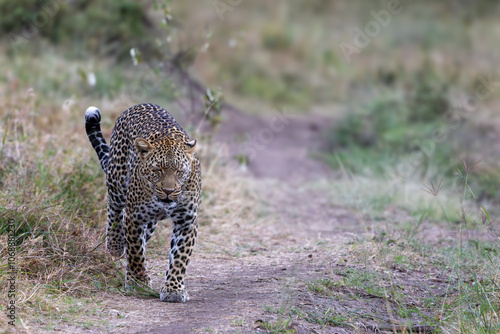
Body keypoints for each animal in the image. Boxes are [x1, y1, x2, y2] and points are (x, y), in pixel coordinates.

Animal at [84, 102, 201, 302]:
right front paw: (138, 282)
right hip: (117, 181)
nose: (168, 191)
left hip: (151, 222)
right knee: (114, 210)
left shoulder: (187, 220)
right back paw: (115, 245)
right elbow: (136, 251)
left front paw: (174, 289)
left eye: (179, 171)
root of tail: (138, 105)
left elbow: (180, 256)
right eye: (157, 170)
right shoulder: (135, 216)